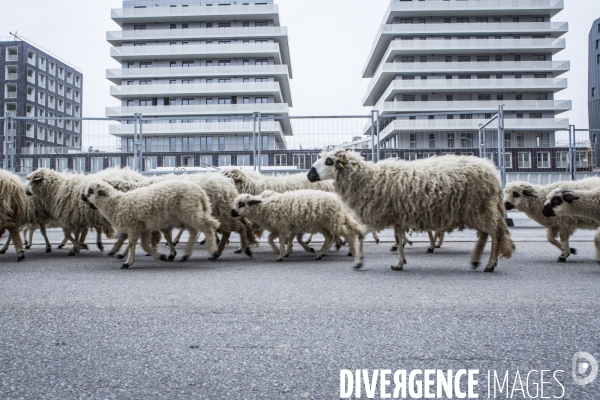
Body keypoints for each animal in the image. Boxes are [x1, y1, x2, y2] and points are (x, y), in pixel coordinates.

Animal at [81, 179, 219, 268]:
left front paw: (127, 262)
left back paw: (213, 251)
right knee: (194, 231)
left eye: (90, 190)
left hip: (191, 212)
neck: (117, 203)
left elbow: (132, 244)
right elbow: (143, 245)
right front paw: (161, 256)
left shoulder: (133, 226)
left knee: (207, 228)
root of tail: (200, 192)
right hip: (188, 215)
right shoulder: (143, 228)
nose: (82, 196)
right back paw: (185, 255)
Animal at [231, 188, 366, 268]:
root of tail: (338, 201)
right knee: (330, 236)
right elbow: (270, 239)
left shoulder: (283, 226)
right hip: (325, 224)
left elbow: (282, 241)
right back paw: (320, 254)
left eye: (241, 203)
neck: (266, 206)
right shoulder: (278, 228)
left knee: (348, 234)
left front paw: (280, 255)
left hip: (333, 221)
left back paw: (352, 252)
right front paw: (279, 251)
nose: (232, 213)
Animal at [310, 150, 516, 272]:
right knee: (485, 234)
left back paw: (490, 264)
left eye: (328, 161)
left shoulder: (381, 214)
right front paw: (399, 263)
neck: (368, 179)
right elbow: (398, 239)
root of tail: (493, 173)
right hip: (478, 209)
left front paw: (359, 261)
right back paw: (475, 260)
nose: (310, 174)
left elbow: (361, 234)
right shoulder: (396, 215)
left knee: (495, 232)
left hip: (479, 207)